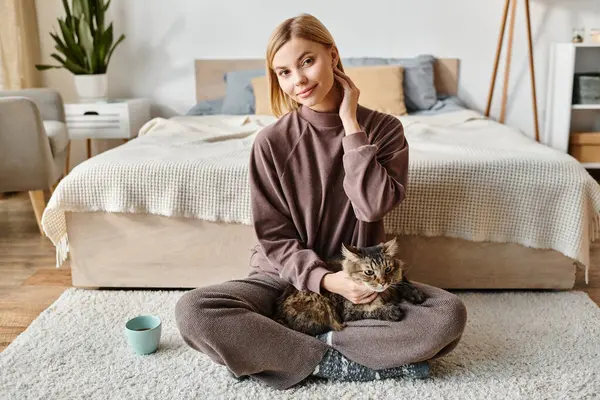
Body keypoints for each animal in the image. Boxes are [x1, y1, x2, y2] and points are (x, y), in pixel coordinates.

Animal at [274, 239, 428, 336]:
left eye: (388, 269)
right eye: (369, 272)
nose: (383, 282)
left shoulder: (398, 280)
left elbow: (403, 283)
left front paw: (416, 294)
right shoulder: (349, 311)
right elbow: (372, 311)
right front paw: (393, 311)